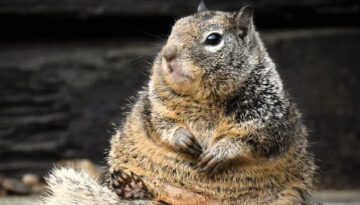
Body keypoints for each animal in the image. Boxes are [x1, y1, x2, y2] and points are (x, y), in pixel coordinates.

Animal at [38, 2, 318, 205]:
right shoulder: (154, 106)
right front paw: (183, 139)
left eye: (213, 39)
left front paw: (220, 152)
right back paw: (131, 186)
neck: (206, 99)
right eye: (174, 28)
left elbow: (256, 138)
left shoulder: (271, 115)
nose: (168, 55)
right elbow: (161, 125)